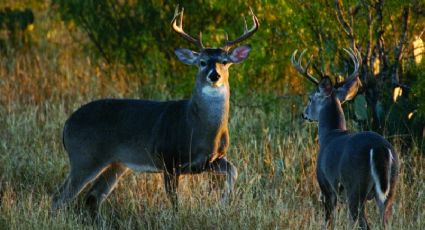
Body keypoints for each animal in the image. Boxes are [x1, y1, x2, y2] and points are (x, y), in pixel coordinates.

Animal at [53, 5, 258, 214]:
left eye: (224, 61)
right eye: (202, 62)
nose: (214, 75)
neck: (198, 129)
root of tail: (67, 124)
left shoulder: (211, 159)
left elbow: (234, 170)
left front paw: (222, 203)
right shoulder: (168, 159)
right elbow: (174, 202)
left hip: (116, 163)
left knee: (93, 197)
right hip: (84, 156)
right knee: (60, 196)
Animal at [290, 47, 400, 229]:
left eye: (311, 98)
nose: (304, 114)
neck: (330, 133)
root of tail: (379, 149)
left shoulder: (326, 185)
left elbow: (328, 222)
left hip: (355, 185)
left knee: (363, 222)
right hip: (390, 187)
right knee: (386, 221)